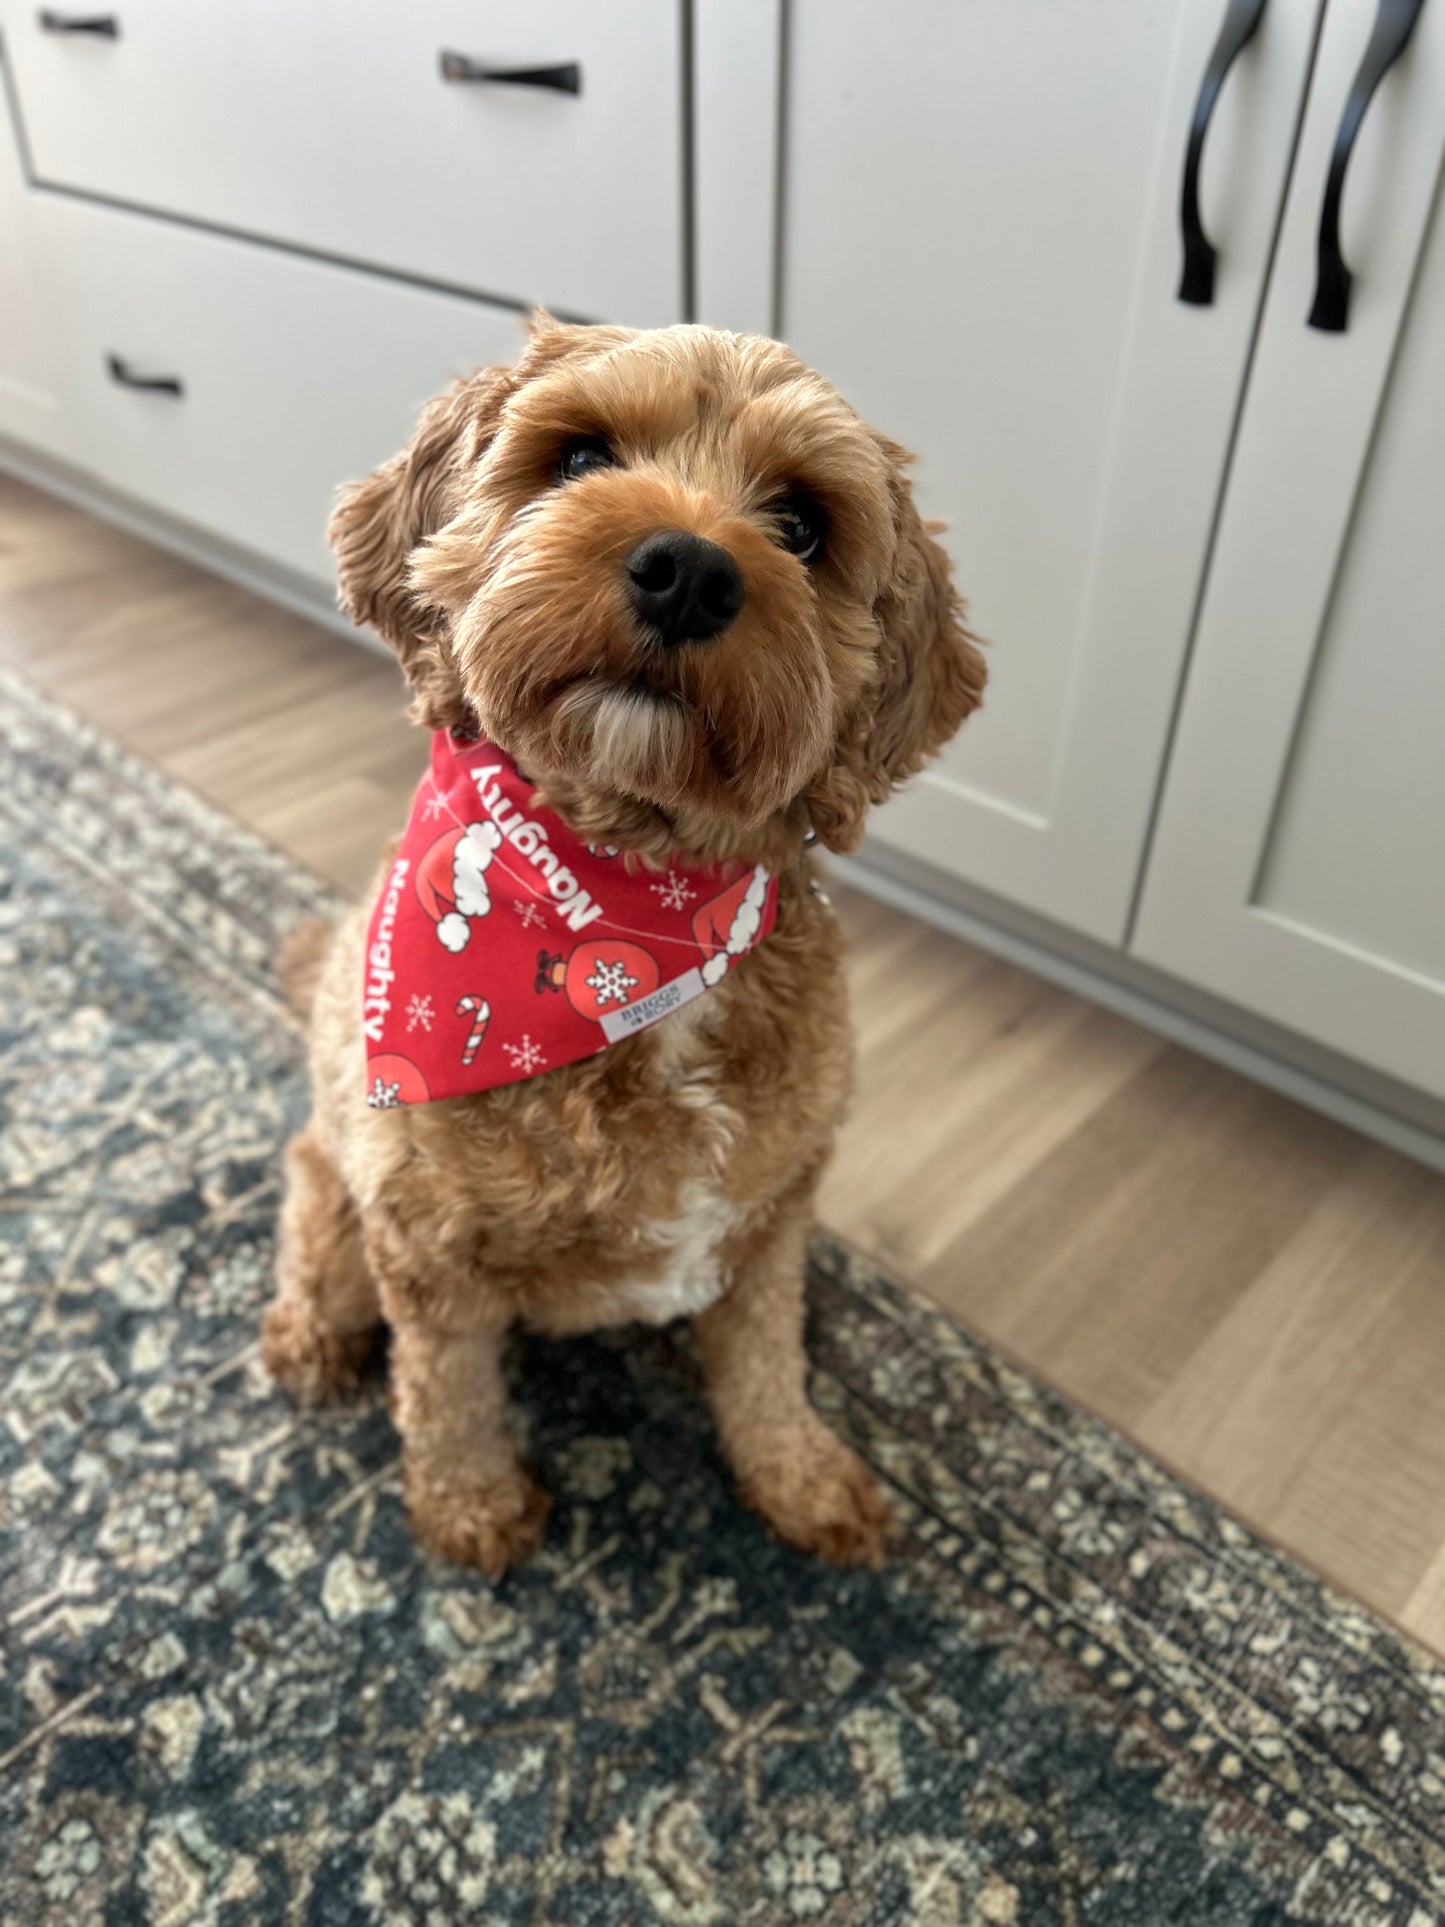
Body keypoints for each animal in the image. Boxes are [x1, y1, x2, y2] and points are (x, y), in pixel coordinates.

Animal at [260, 316, 994, 1572]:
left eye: (802, 523)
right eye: (576, 456)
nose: (689, 571)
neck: (633, 922)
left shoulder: (771, 1218)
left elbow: (762, 1365)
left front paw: (796, 1476)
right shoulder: (424, 1247)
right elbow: (446, 1392)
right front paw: (471, 1508)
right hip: (337, 1187)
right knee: (315, 1244)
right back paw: (306, 1339)